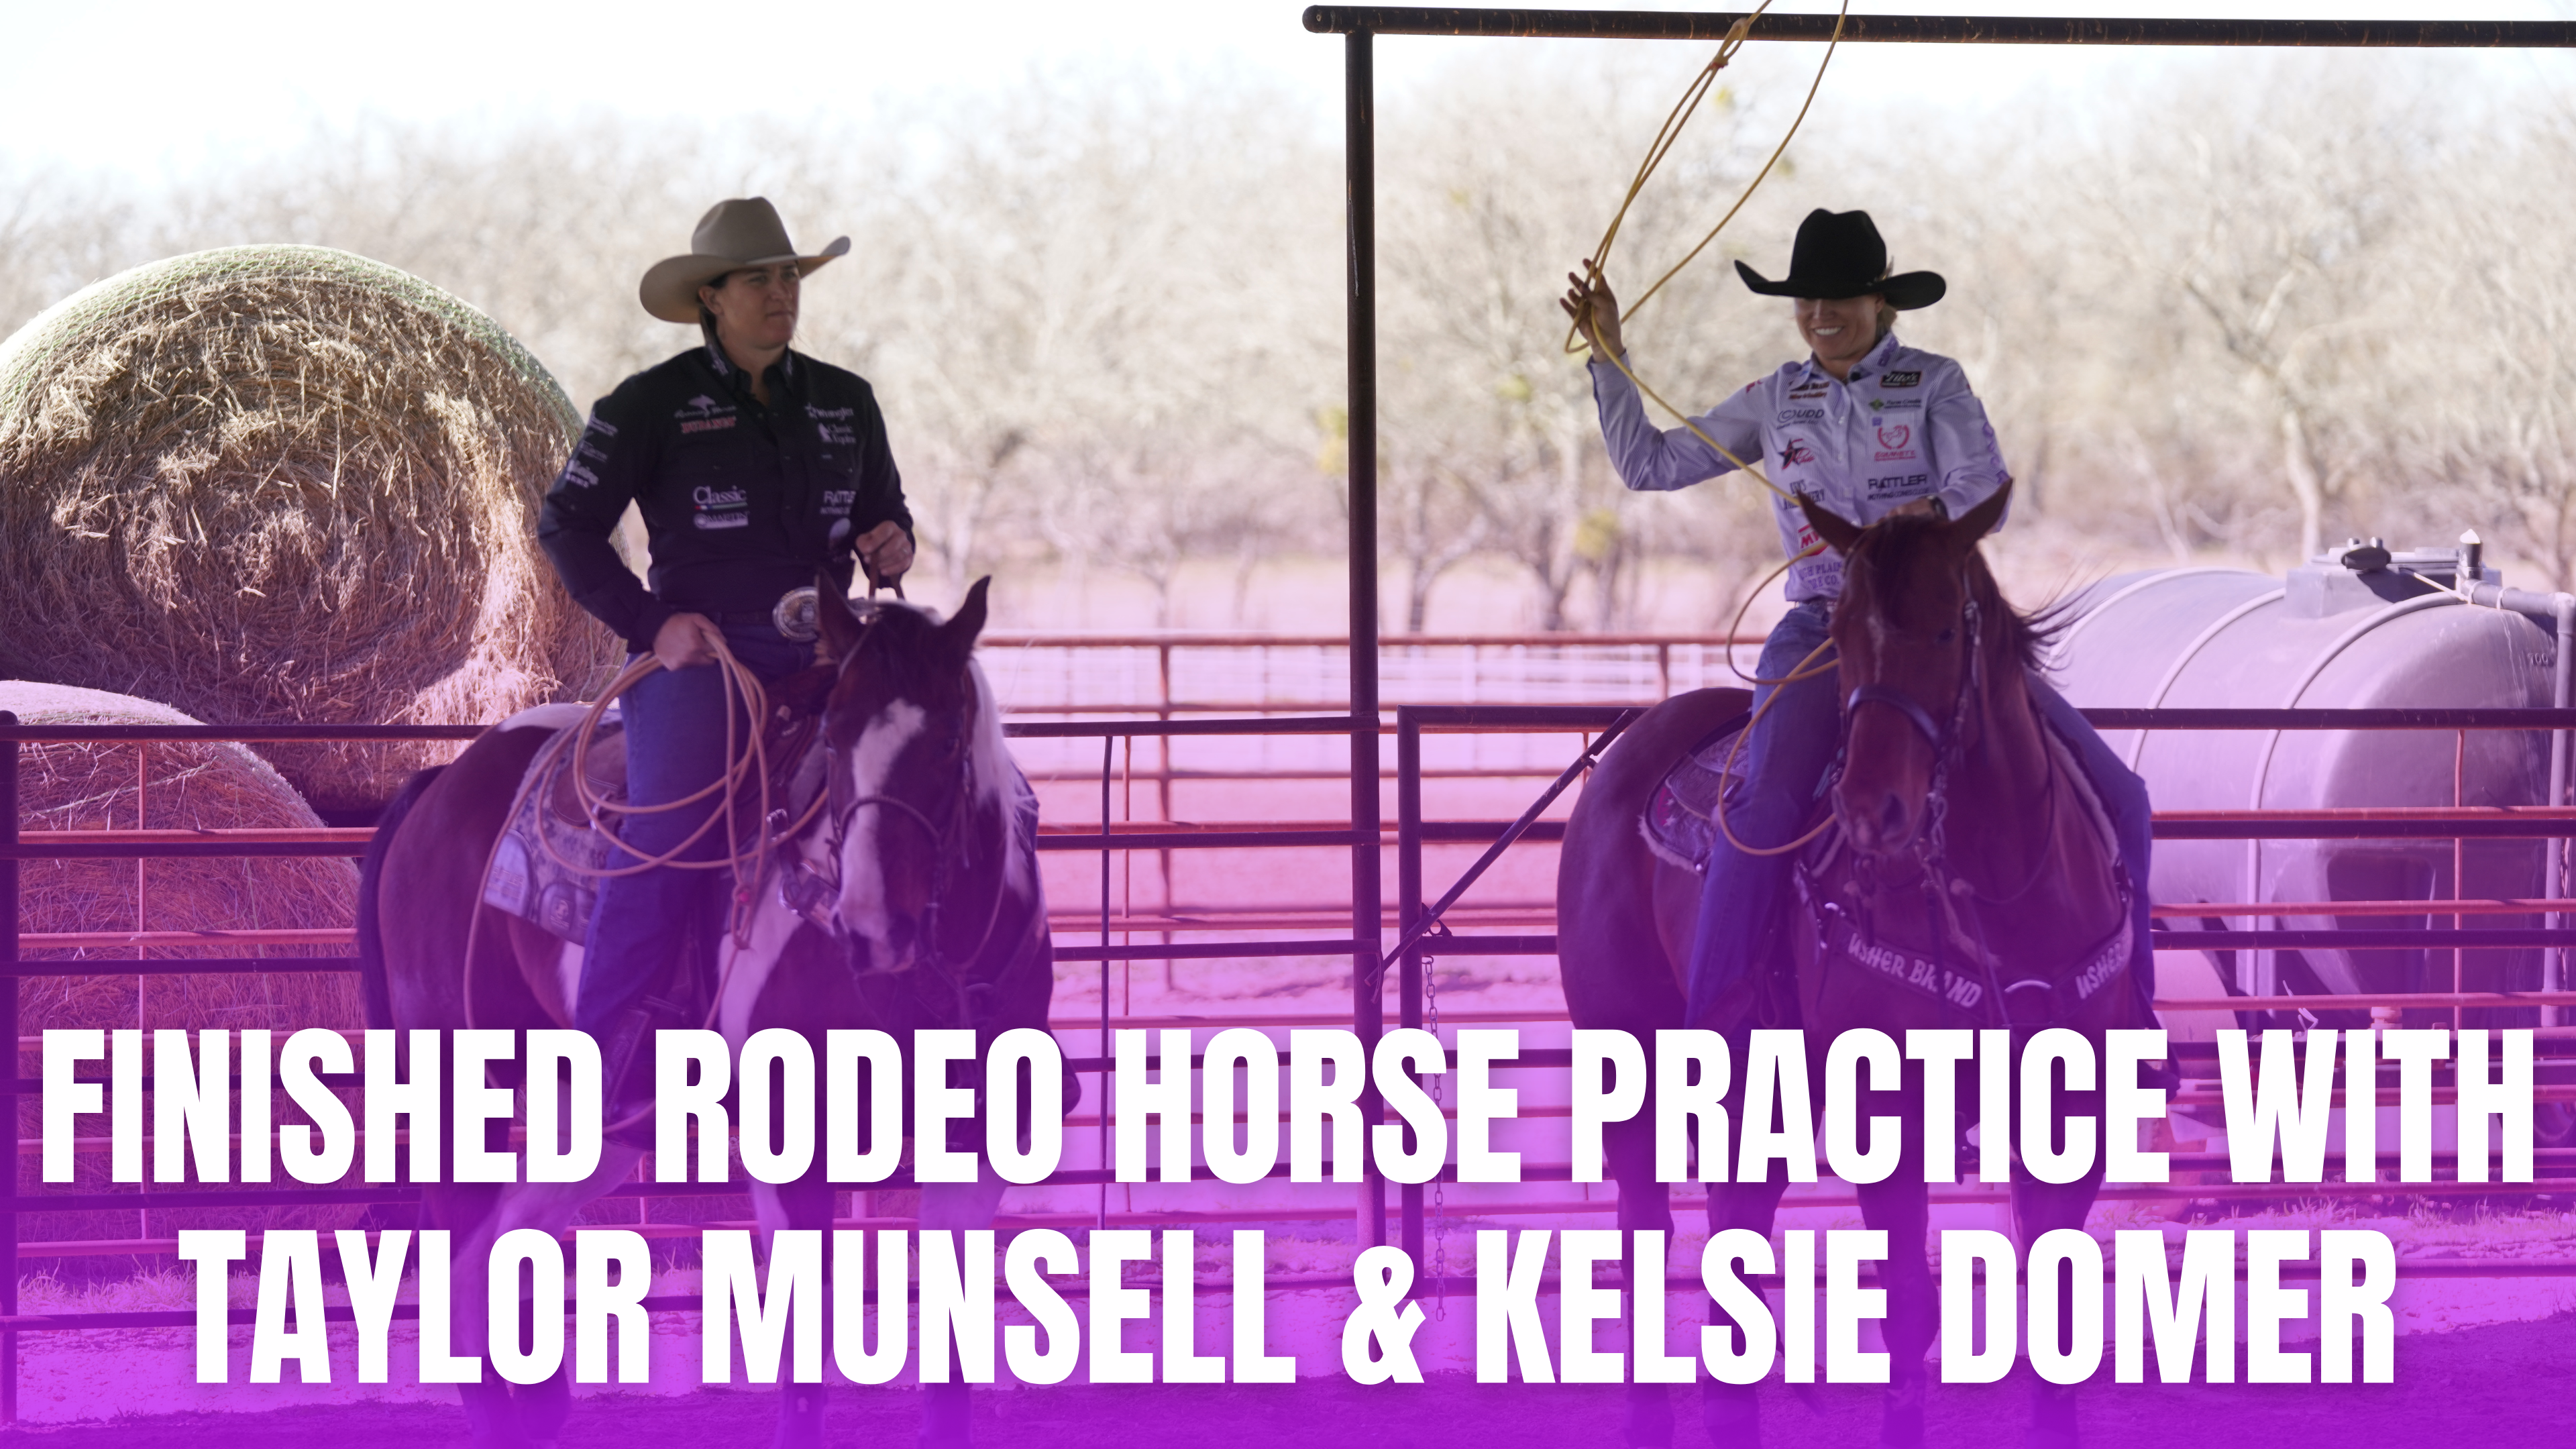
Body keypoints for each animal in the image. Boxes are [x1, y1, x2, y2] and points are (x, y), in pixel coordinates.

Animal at [356, 576, 1056, 1449]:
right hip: (459, 1074)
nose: (869, 926)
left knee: (508, 1231)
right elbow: (803, 1347)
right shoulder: (793, 1142)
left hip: (606, 1114)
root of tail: (440, 785)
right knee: (460, 1245)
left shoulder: (984, 1141)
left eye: (948, 742)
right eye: (836, 736)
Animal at [1557, 486, 2140, 1449]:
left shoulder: (2069, 1118)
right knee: (1647, 1237)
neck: (2000, 892)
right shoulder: (1887, 1117)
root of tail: (1627, 748)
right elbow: (1908, 1311)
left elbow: (2057, 1318)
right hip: (1628, 1054)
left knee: (1737, 1236)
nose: (1872, 810)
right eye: (1841, 636)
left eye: (1945, 630)